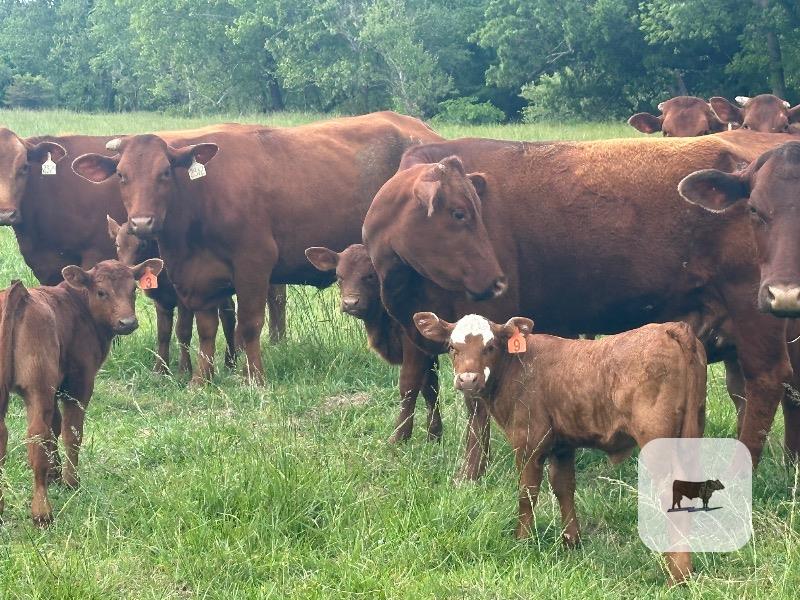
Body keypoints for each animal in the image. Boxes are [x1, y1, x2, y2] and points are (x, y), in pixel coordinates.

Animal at [0, 258, 163, 525]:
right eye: (101, 292)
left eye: (134, 290)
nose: (128, 323)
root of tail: (19, 293)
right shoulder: (79, 383)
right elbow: (71, 433)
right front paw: (70, 482)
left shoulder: (57, 387)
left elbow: (55, 427)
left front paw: (55, 476)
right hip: (38, 387)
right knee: (36, 437)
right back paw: (42, 514)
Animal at [71, 112, 443, 384]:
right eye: (121, 175)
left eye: (165, 172)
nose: (142, 222)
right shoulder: (199, 280)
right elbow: (206, 329)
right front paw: (201, 380)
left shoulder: (254, 265)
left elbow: (248, 325)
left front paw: (254, 378)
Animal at [305, 244, 442, 442]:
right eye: (339, 276)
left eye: (370, 275)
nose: (350, 303)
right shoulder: (427, 349)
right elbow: (430, 387)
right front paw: (434, 436)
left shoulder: (414, 345)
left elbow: (408, 385)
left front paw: (399, 437)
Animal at [362, 131, 798, 480]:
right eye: (458, 213)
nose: (496, 279)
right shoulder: (416, 329)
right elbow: (411, 382)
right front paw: (401, 443)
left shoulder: (492, 321)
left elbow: (475, 404)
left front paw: (471, 473)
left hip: (756, 309)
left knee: (766, 381)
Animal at [414, 312, 706, 585]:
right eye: (452, 347)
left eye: (490, 346)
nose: (468, 380)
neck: (516, 368)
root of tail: (669, 328)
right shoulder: (562, 446)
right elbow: (564, 487)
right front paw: (571, 542)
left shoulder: (528, 442)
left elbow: (527, 492)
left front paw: (522, 541)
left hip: (658, 444)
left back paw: (676, 575)